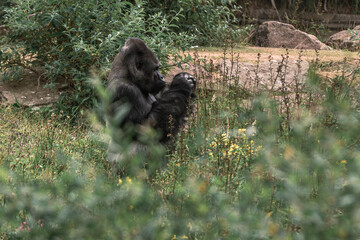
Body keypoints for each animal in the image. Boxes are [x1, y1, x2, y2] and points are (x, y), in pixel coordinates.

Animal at [107, 37, 197, 172]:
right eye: (155, 69)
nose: (162, 77)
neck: (128, 75)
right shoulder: (124, 90)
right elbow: (144, 129)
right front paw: (182, 84)